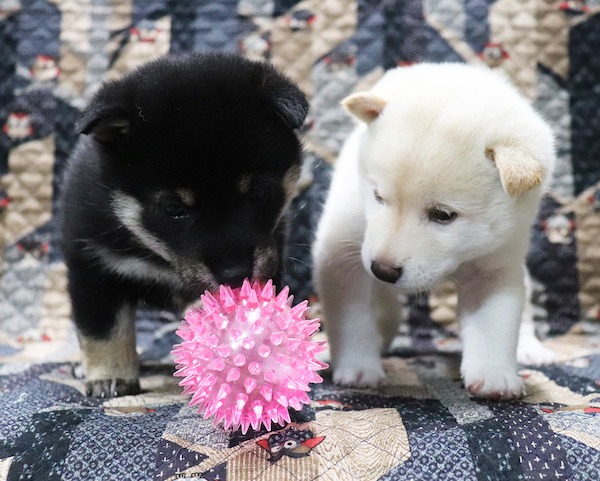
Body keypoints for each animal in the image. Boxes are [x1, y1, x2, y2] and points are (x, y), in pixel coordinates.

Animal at [60, 53, 308, 397]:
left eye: (257, 193)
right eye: (173, 209)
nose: (235, 274)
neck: (159, 256)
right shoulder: (92, 267)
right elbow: (104, 331)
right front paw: (110, 377)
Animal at [312, 63, 555, 400]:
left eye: (443, 215)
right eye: (378, 197)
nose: (382, 270)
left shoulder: (497, 262)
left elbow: (494, 323)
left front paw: (494, 375)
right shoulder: (345, 256)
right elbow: (354, 319)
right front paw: (358, 369)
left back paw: (531, 348)